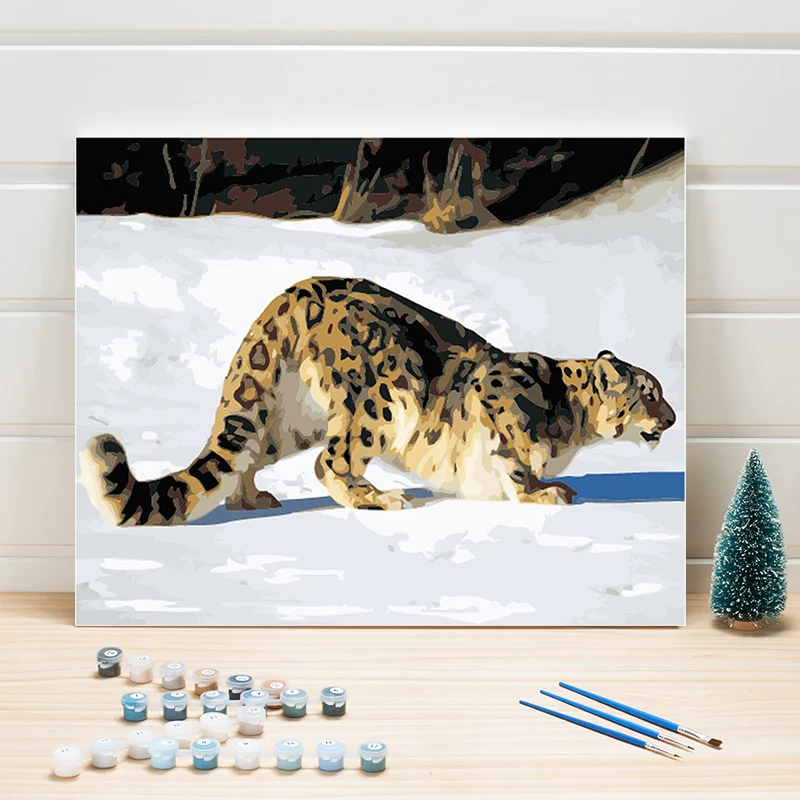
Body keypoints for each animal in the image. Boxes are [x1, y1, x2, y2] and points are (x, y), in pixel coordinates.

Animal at [80, 276, 677, 526]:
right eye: (649, 393)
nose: (672, 419)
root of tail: (291, 294)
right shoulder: (501, 397)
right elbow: (515, 457)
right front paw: (544, 492)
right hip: (389, 392)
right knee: (332, 461)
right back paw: (379, 498)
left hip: (290, 419)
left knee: (246, 452)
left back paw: (253, 501)